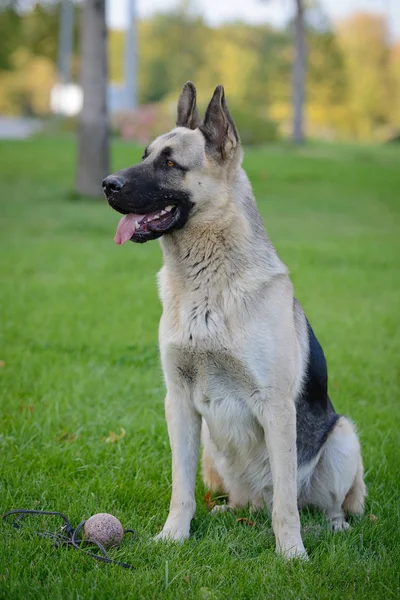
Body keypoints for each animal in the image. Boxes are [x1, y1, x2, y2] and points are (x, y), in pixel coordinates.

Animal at [102, 81, 366, 556]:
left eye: (169, 163)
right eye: (145, 154)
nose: (106, 185)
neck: (207, 286)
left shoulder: (277, 408)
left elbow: (287, 504)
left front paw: (291, 554)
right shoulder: (178, 403)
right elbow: (181, 489)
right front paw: (174, 536)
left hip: (342, 439)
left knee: (316, 503)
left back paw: (332, 527)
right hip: (212, 446)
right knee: (243, 498)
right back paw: (230, 511)